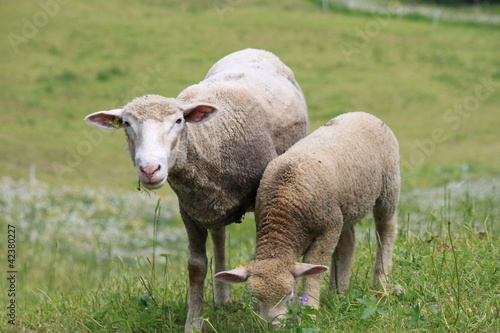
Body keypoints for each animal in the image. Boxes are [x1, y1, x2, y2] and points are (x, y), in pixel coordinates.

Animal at [85, 48, 308, 330]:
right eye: (126, 124)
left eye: (179, 121)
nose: (150, 169)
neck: (210, 141)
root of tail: (254, 50)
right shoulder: (189, 210)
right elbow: (196, 267)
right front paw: (194, 322)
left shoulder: (261, 200)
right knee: (220, 237)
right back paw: (222, 296)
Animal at [215, 112, 398, 326]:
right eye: (253, 298)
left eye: (289, 294)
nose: (274, 326)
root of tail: (361, 113)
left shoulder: (328, 228)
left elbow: (313, 269)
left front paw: (310, 312)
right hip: (345, 208)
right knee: (348, 241)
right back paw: (338, 292)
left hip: (389, 186)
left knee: (386, 228)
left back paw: (380, 282)